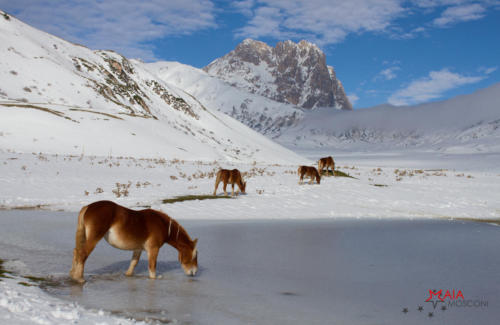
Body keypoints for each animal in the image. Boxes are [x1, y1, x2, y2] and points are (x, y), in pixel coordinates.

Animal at [69, 199, 198, 282]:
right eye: (194, 255)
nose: (194, 272)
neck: (163, 226)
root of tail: (88, 207)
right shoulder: (153, 249)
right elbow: (152, 267)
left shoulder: (138, 249)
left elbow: (134, 263)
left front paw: (128, 275)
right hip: (94, 238)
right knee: (82, 254)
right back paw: (79, 278)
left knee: (76, 252)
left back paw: (72, 275)